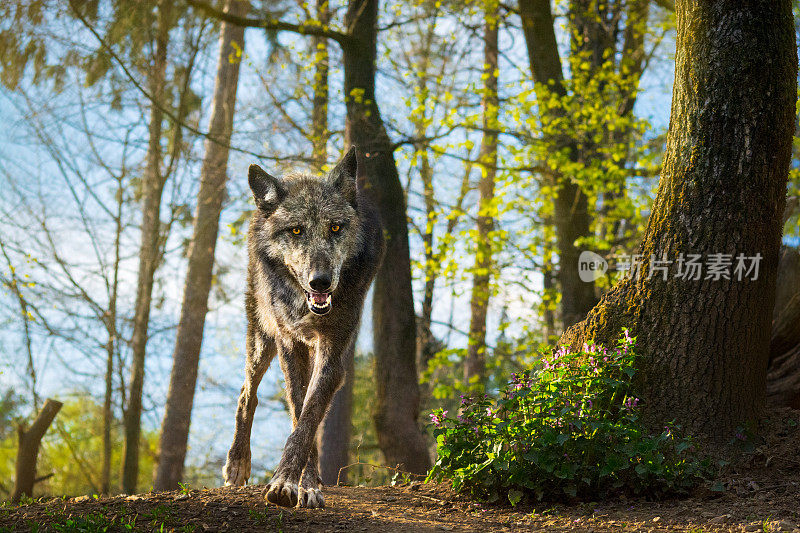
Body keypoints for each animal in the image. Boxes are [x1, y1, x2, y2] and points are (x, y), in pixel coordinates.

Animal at [219, 144, 382, 508]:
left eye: (335, 228)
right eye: (296, 230)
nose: (320, 281)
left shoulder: (333, 352)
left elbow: (308, 417)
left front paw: (297, 484)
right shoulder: (289, 345)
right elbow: (298, 408)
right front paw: (298, 483)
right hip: (261, 338)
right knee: (246, 393)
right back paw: (237, 462)